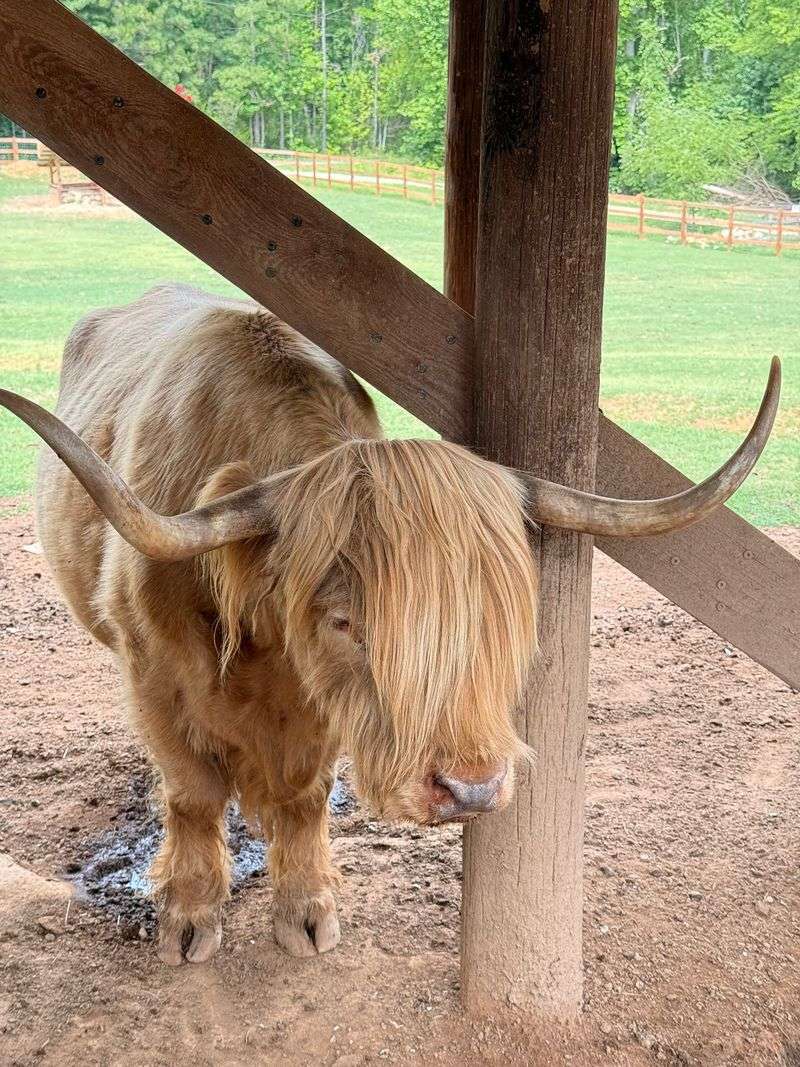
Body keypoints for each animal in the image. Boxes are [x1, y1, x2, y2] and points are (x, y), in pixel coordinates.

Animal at [0, 284, 779, 966]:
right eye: (345, 621)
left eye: (499, 619)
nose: (470, 790)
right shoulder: (152, 672)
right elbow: (193, 793)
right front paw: (189, 920)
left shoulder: (319, 713)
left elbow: (305, 797)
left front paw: (306, 912)